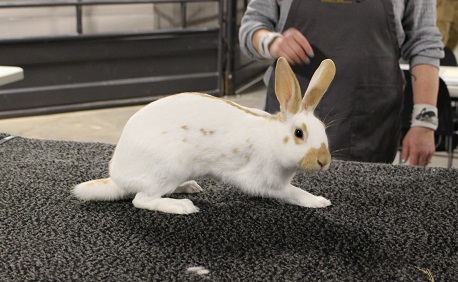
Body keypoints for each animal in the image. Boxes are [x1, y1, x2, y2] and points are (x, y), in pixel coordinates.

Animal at [73, 58, 334, 215]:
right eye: (299, 133)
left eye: (323, 128)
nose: (324, 161)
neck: (273, 138)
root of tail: (118, 178)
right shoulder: (267, 182)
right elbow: (294, 193)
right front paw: (320, 200)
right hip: (168, 169)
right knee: (142, 199)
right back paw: (183, 206)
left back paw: (190, 187)